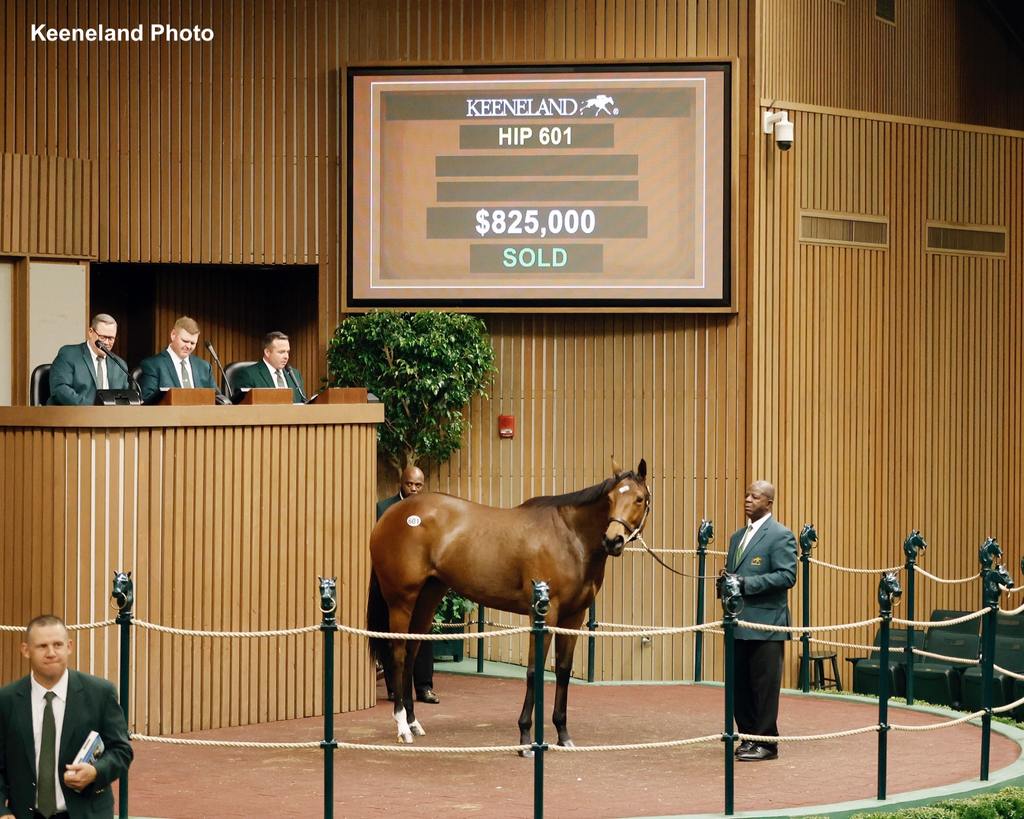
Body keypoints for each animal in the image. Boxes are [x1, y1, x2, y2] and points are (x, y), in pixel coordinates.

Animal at [368, 456, 647, 745]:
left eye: (639, 499)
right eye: (611, 498)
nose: (613, 540)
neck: (569, 537)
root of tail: (391, 515)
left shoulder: (574, 617)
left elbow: (562, 670)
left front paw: (562, 733)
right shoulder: (545, 614)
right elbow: (535, 670)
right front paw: (525, 735)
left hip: (428, 598)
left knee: (412, 652)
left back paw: (413, 722)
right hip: (401, 601)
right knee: (398, 654)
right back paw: (402, 725)